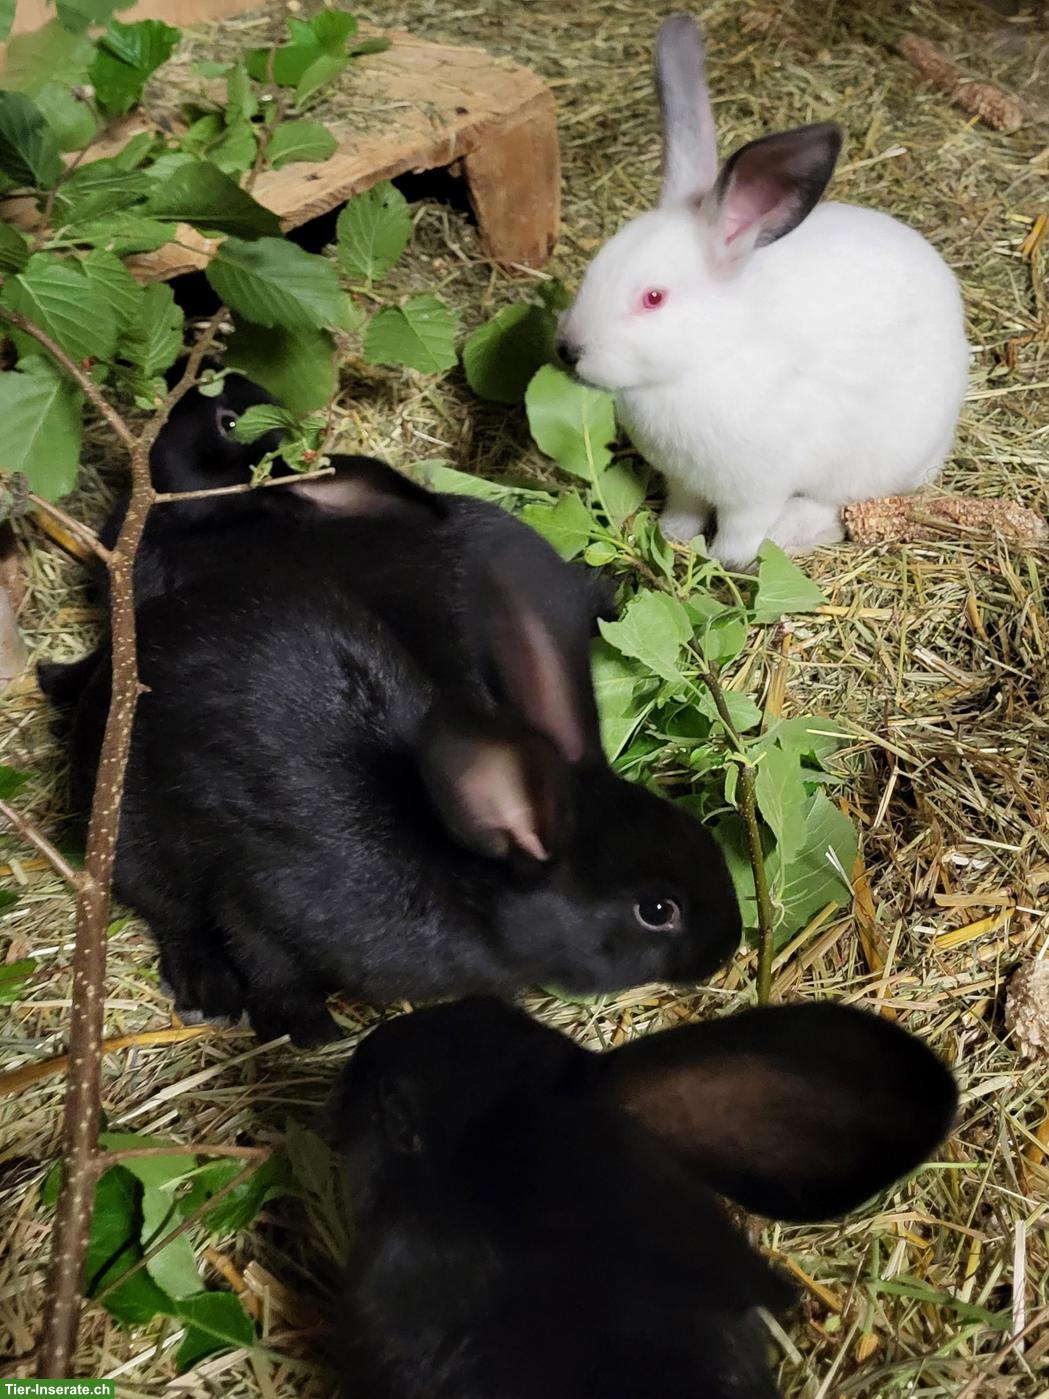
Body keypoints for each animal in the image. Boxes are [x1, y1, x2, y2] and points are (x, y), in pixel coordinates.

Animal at [60, 464, 741, 1046]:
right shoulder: (262, 897)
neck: (461, 876)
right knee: (169, 911)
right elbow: (263, 954)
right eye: (657, 911)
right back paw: (208, 990)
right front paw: (308, 1029)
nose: (728, 947)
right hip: (135, 834)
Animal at [556, 14, 970, 570]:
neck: (709, 358)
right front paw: (673, 536)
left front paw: (723, 562)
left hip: (875, 461)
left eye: (653, 298)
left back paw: (794, 531)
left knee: (838, 505)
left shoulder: (755, 492)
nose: (568, 350)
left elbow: (740, 529)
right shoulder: (683, 480)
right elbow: (684, 509)